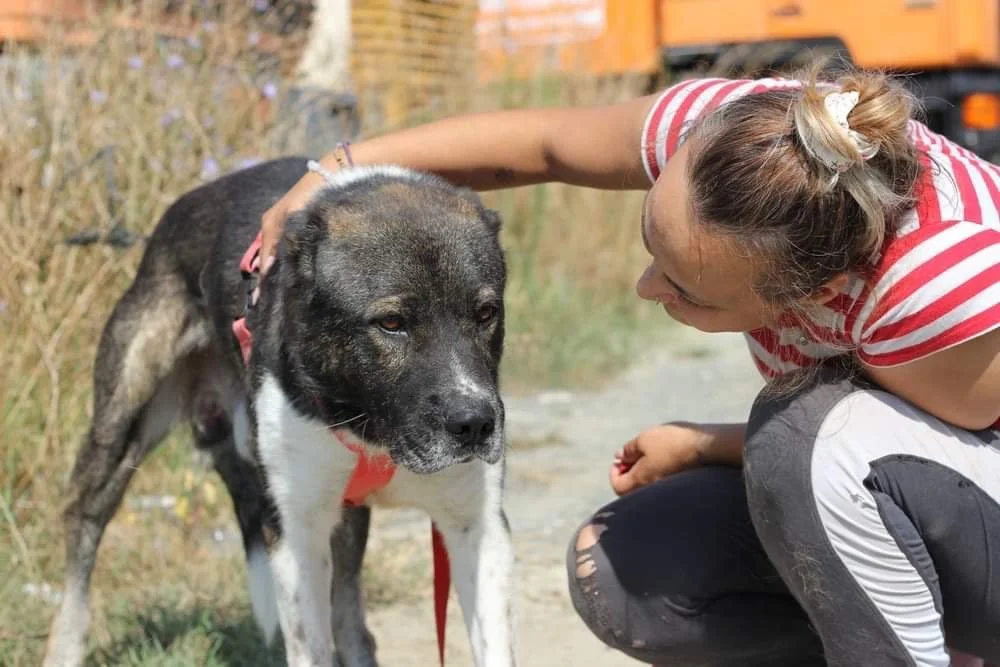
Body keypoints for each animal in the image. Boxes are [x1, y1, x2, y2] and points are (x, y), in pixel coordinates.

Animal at [41, 158, 517, 667]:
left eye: (486, 313)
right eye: (391, 323)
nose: (474, 424)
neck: (367, 422)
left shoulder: (477, 527)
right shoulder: (294, 536)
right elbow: (312, 646)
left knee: (350, 618)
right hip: (120, 426)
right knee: (84, 520)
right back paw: (65, 643)